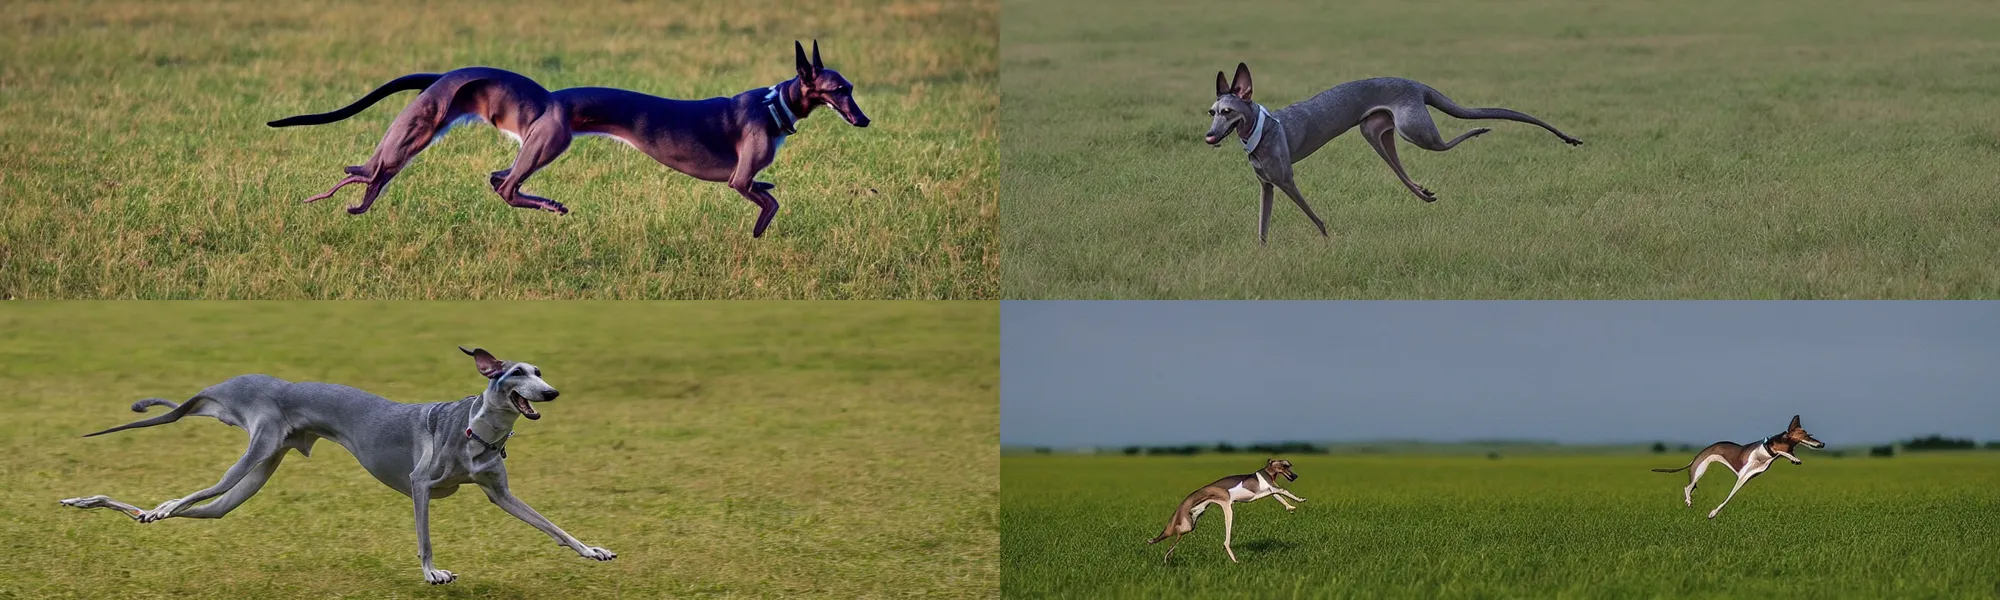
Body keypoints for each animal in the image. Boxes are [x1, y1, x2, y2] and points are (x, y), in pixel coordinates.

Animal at [1152, 460, 1304, 564]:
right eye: (1285, 465)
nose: (1296, 476)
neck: (1267, 472)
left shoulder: (1271, 491)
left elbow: (1281, 497)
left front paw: (1291, 507)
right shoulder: (1269, 490)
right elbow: (1284, 491)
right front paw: (1300, 499)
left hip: (1194, 520)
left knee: (1174, 536)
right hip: (1224, 511)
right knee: (1225, 541)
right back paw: (1235, 560)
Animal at [1648, 414, 1824, 516]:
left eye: (1810, 434)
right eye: (1805, 435)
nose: (1821, 444)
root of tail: (1697, 454)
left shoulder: (1747, 477)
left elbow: (1730, 497)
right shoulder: (1744, 475)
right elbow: (1729, 497)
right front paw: (1712, 513)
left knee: (1691, 486)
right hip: (1700, 469)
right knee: (1688, 486)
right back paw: (1689, 501)